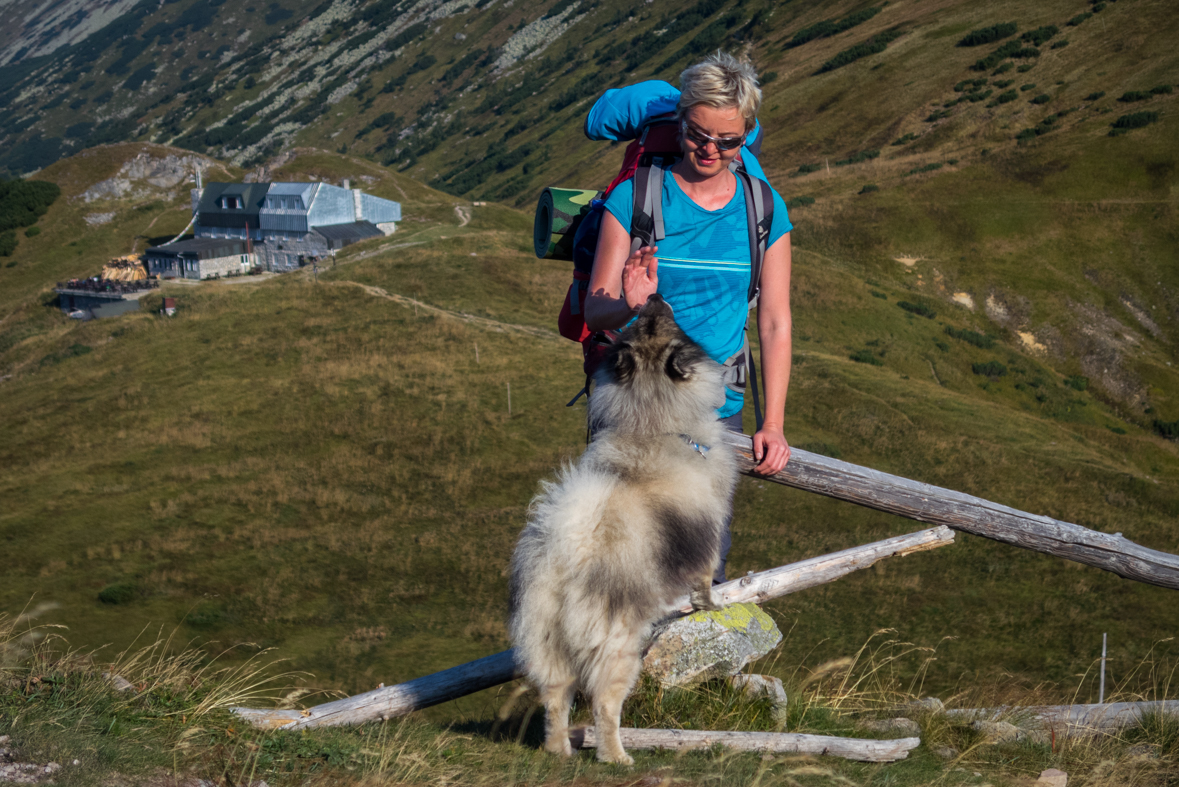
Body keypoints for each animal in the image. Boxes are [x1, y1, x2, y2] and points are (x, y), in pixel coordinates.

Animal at [506, 294, 735, 763]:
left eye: (642, 322)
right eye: (665, 323)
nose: (653, 295)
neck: (650, 422)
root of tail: (566, 552)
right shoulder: (707, 537)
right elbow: (704, 582)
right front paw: (711, 605)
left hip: (547, 642)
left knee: (555, 699)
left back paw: (559, 751)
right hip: (619, 647)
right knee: (604, 703)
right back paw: (616, 756)